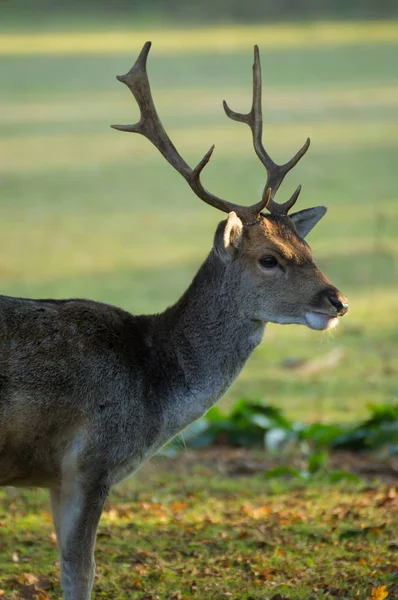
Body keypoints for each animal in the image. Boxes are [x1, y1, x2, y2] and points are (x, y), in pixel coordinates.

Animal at [0, 42, 346, 600]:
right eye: (269, 258)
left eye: (309, 249)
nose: (337, 301)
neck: (153, 392)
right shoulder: (89, 460)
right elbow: (80, 572)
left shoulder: (59, 476)